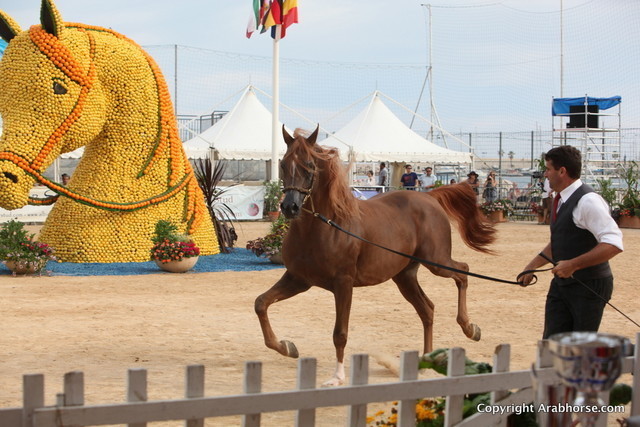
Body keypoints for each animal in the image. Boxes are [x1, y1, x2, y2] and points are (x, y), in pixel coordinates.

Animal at [255, 127, 497, 386]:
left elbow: (340, 333)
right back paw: (425, 361)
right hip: (405, 276)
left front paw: (338, 377)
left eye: (309, 165)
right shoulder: (299, 279)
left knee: (463, 272)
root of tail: (430, 198)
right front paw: (287, 347)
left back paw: (470, 328)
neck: (325, 226)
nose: (289, 207)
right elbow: (261, 303)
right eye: (283, 163)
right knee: (427, 309)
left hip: (437, 262)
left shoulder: (343, 284)